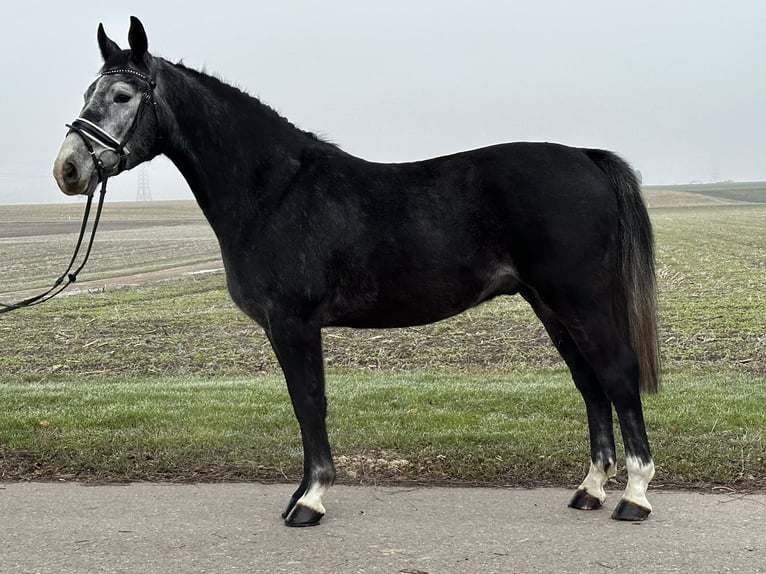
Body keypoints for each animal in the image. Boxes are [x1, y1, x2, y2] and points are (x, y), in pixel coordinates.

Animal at [51, 16, 660, 532]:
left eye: (123, 96)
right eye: (86, 95)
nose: (68, 169)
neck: (274, 191)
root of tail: (584, 156)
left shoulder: (294, 324)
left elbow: (309, 402)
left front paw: (311, 500)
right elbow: (305, 405)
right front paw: (300, 495)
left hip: (581, 300)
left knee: (618, 375)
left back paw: (634, 496)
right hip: (550, 304)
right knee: (590, 385)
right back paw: (590, 490)